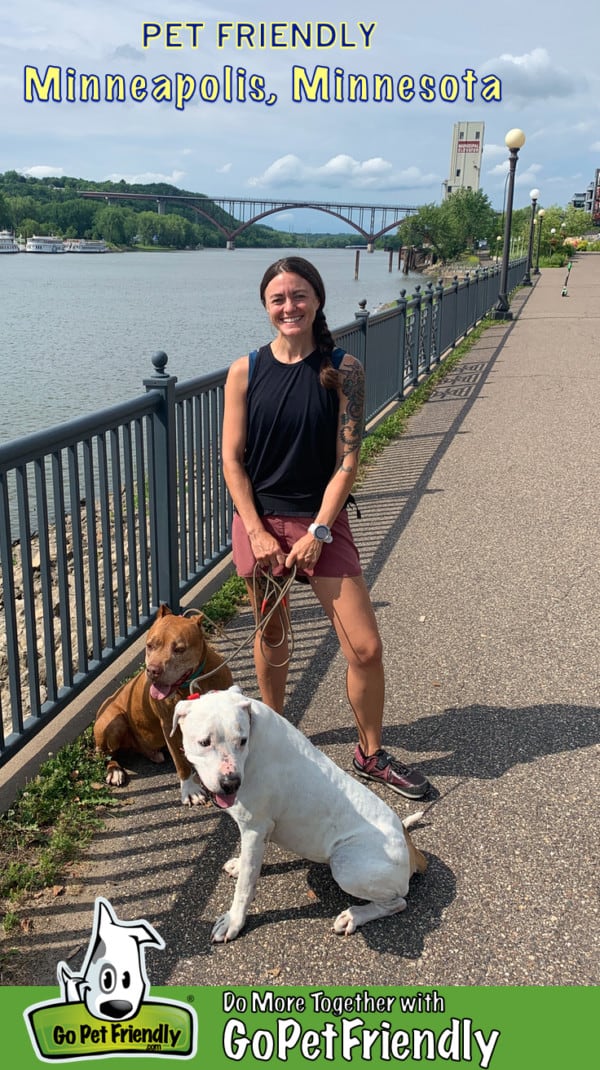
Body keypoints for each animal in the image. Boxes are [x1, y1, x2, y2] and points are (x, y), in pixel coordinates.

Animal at [94, 603, 233, 804]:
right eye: (149, 646)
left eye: (179, 649)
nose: (153, 670)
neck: (191, 683)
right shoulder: (169, 725)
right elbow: (181, 763)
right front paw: (190, 790)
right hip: (113, 723)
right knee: (106, 754)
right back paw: (115, 771)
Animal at [173, 684, 425, 937]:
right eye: (204, 742)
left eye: (242, 740)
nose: (231, 783)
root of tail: (410, 847)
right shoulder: (258, 832)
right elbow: (249, 866)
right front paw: (239, 865)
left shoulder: (255, 828)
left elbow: (244, 885)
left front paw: (234, 921)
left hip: (346, 865)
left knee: (397, 902)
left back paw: (353, 916)